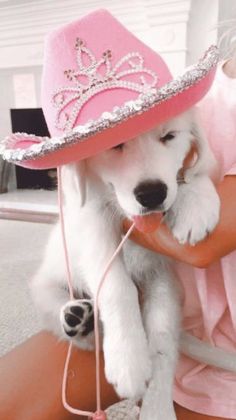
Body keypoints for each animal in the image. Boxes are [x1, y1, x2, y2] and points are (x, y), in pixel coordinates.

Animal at [30, 108, 220, 420]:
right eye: (115, 145)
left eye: (169, 137)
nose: (152, 194)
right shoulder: (93, 226)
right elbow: (118, 288)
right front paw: (128, 361)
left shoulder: (162, 276)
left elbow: (162, 340)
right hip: (48, 281)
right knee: (64, 318)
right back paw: (76, 318)